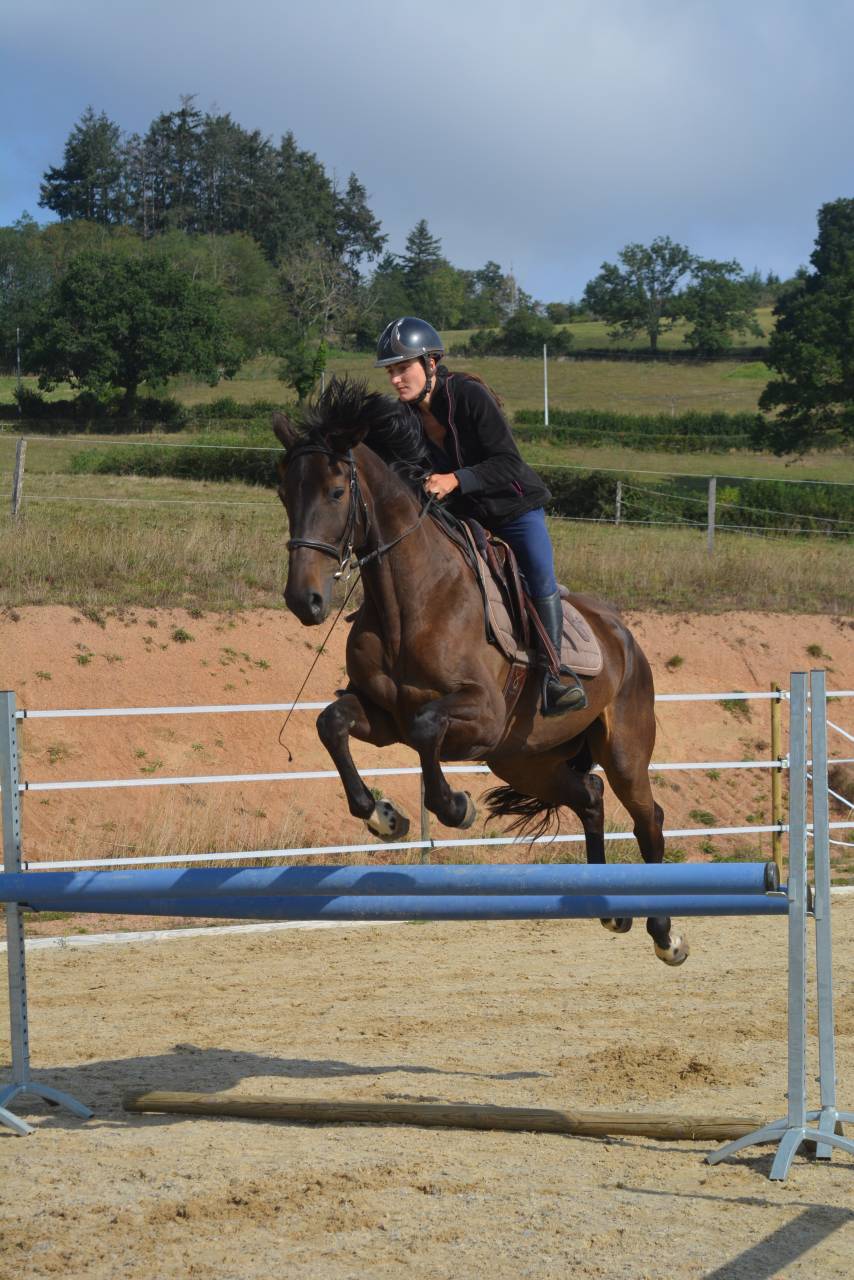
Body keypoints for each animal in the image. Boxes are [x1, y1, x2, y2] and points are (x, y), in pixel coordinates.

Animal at [273, 377, 688, 965]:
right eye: (285, 494)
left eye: (335, 492)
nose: (303, 600)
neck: (410, 600)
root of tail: (623, 634)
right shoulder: (383, 716)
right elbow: (332, 723)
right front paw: (382, 814)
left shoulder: (482, 716)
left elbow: (428, 728)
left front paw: (455, 806)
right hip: (524, 759)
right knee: (589, 796)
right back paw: (610, 908)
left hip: (622, 748)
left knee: (647, 817)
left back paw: (665, 932)